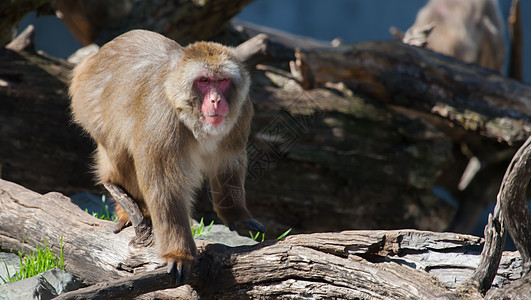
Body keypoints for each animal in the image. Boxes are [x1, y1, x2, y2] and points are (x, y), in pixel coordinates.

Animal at [70, 29, 266, 282]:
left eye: (222, 81)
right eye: (204, 81)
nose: (216, 100)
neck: (187, 113)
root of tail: (94, 58)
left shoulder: (241, 112)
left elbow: (228, 162)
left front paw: (236, 213)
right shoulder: (162, 120)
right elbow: (165, 185)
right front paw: (179, 254)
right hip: (89, 106)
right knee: (118, 155)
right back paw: (122, 198)